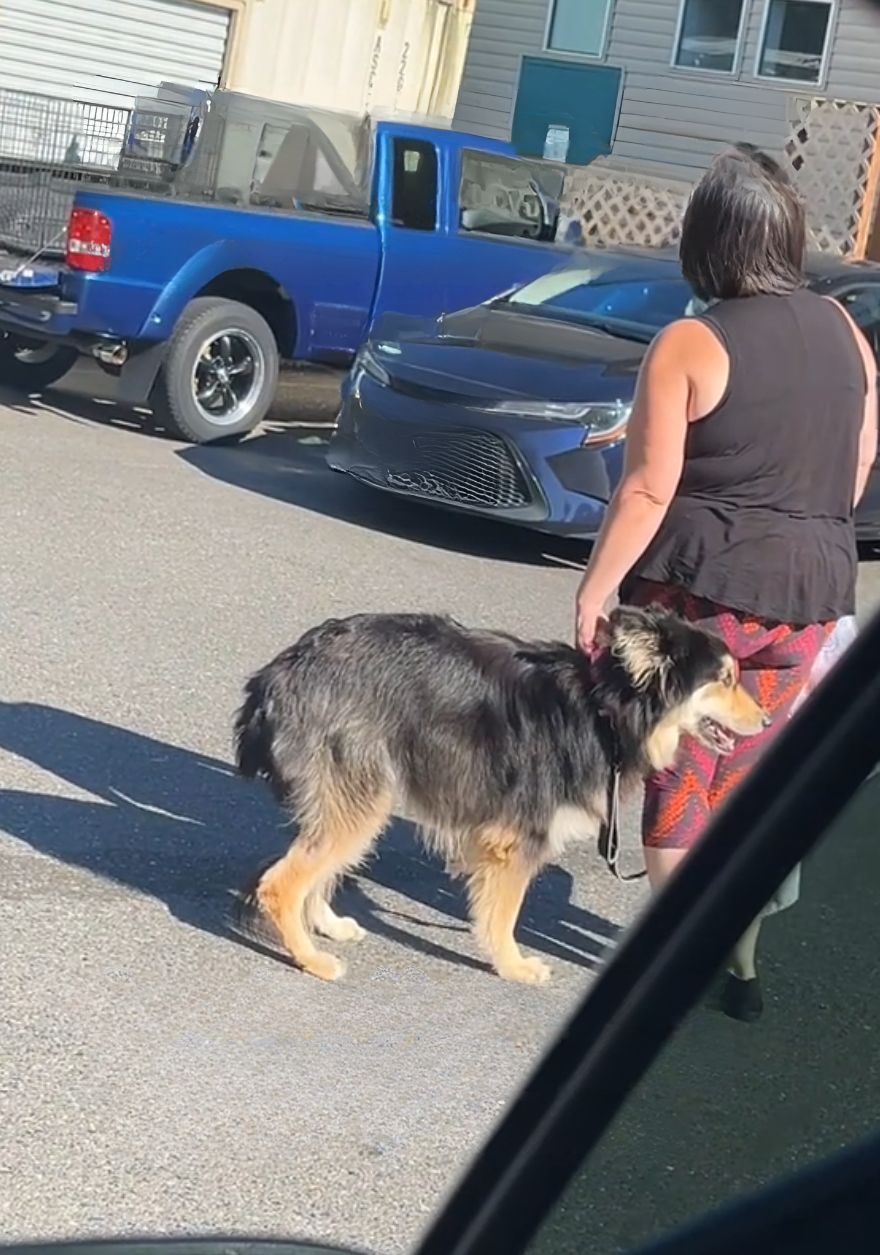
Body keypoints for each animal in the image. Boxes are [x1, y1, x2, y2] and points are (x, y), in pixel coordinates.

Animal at [233, 602, 768, 983]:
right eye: (725, 680)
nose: (766, 722)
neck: (605, 711)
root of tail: (280, 673)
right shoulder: (519, 839)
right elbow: (505, 916)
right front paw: (514, 966)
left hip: (359, 797)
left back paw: (326, 924)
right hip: (363, 796)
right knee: (281, 884)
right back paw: (312, 959)